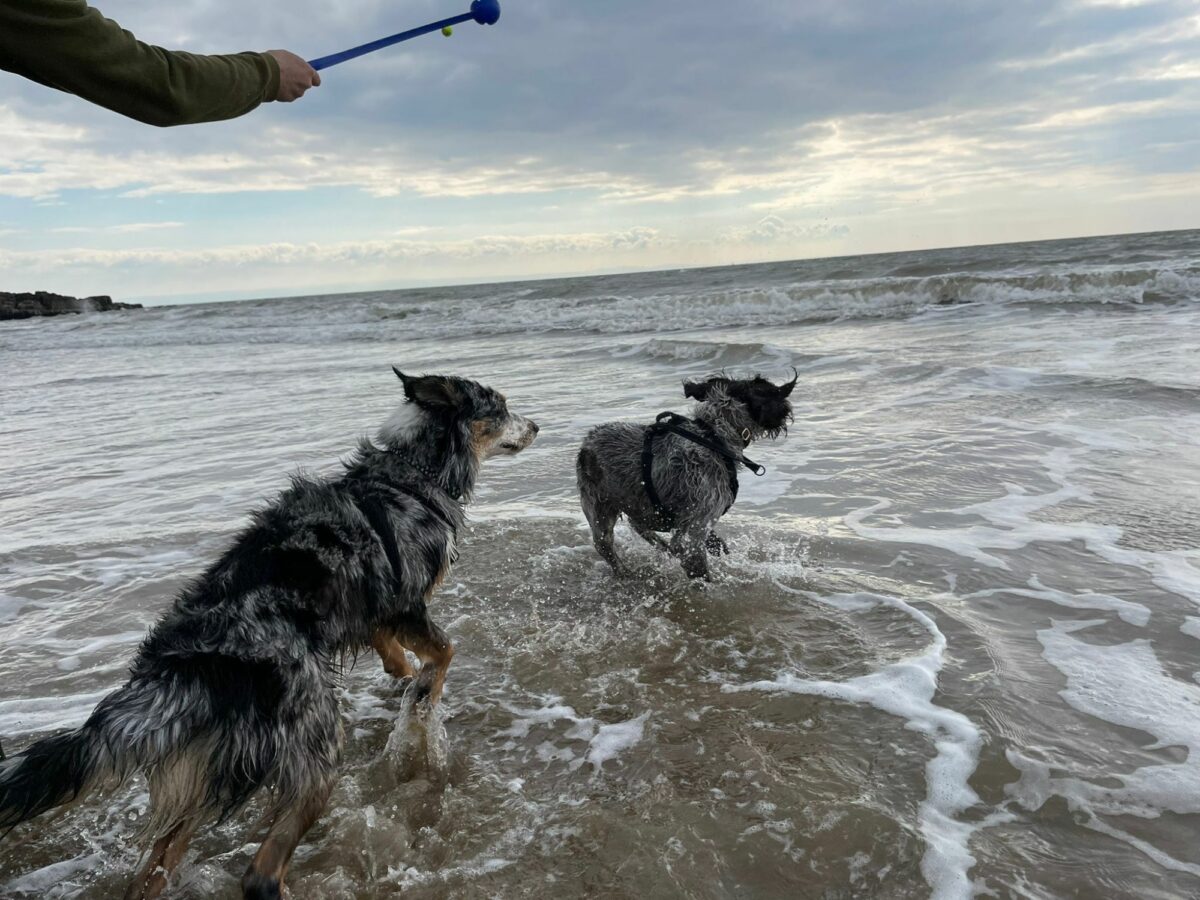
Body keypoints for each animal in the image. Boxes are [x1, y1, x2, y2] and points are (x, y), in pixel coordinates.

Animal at [0, 367, 535, 900]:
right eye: (501, 407)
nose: (536, 427)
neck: (414, 471)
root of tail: (192, 665)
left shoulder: (370, 608)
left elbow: (393, 647)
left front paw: (403, 677)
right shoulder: (406, 603)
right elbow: (444, 650)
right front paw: (422, 698)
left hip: (212, 767)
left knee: (155, 867)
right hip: (316, 741)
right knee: (261, 870)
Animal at [573, 372, 792, 578]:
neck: (712, 434)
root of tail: (586, 448)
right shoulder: (695, 527)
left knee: (634, 530)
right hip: (601, 507)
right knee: (608, 544)